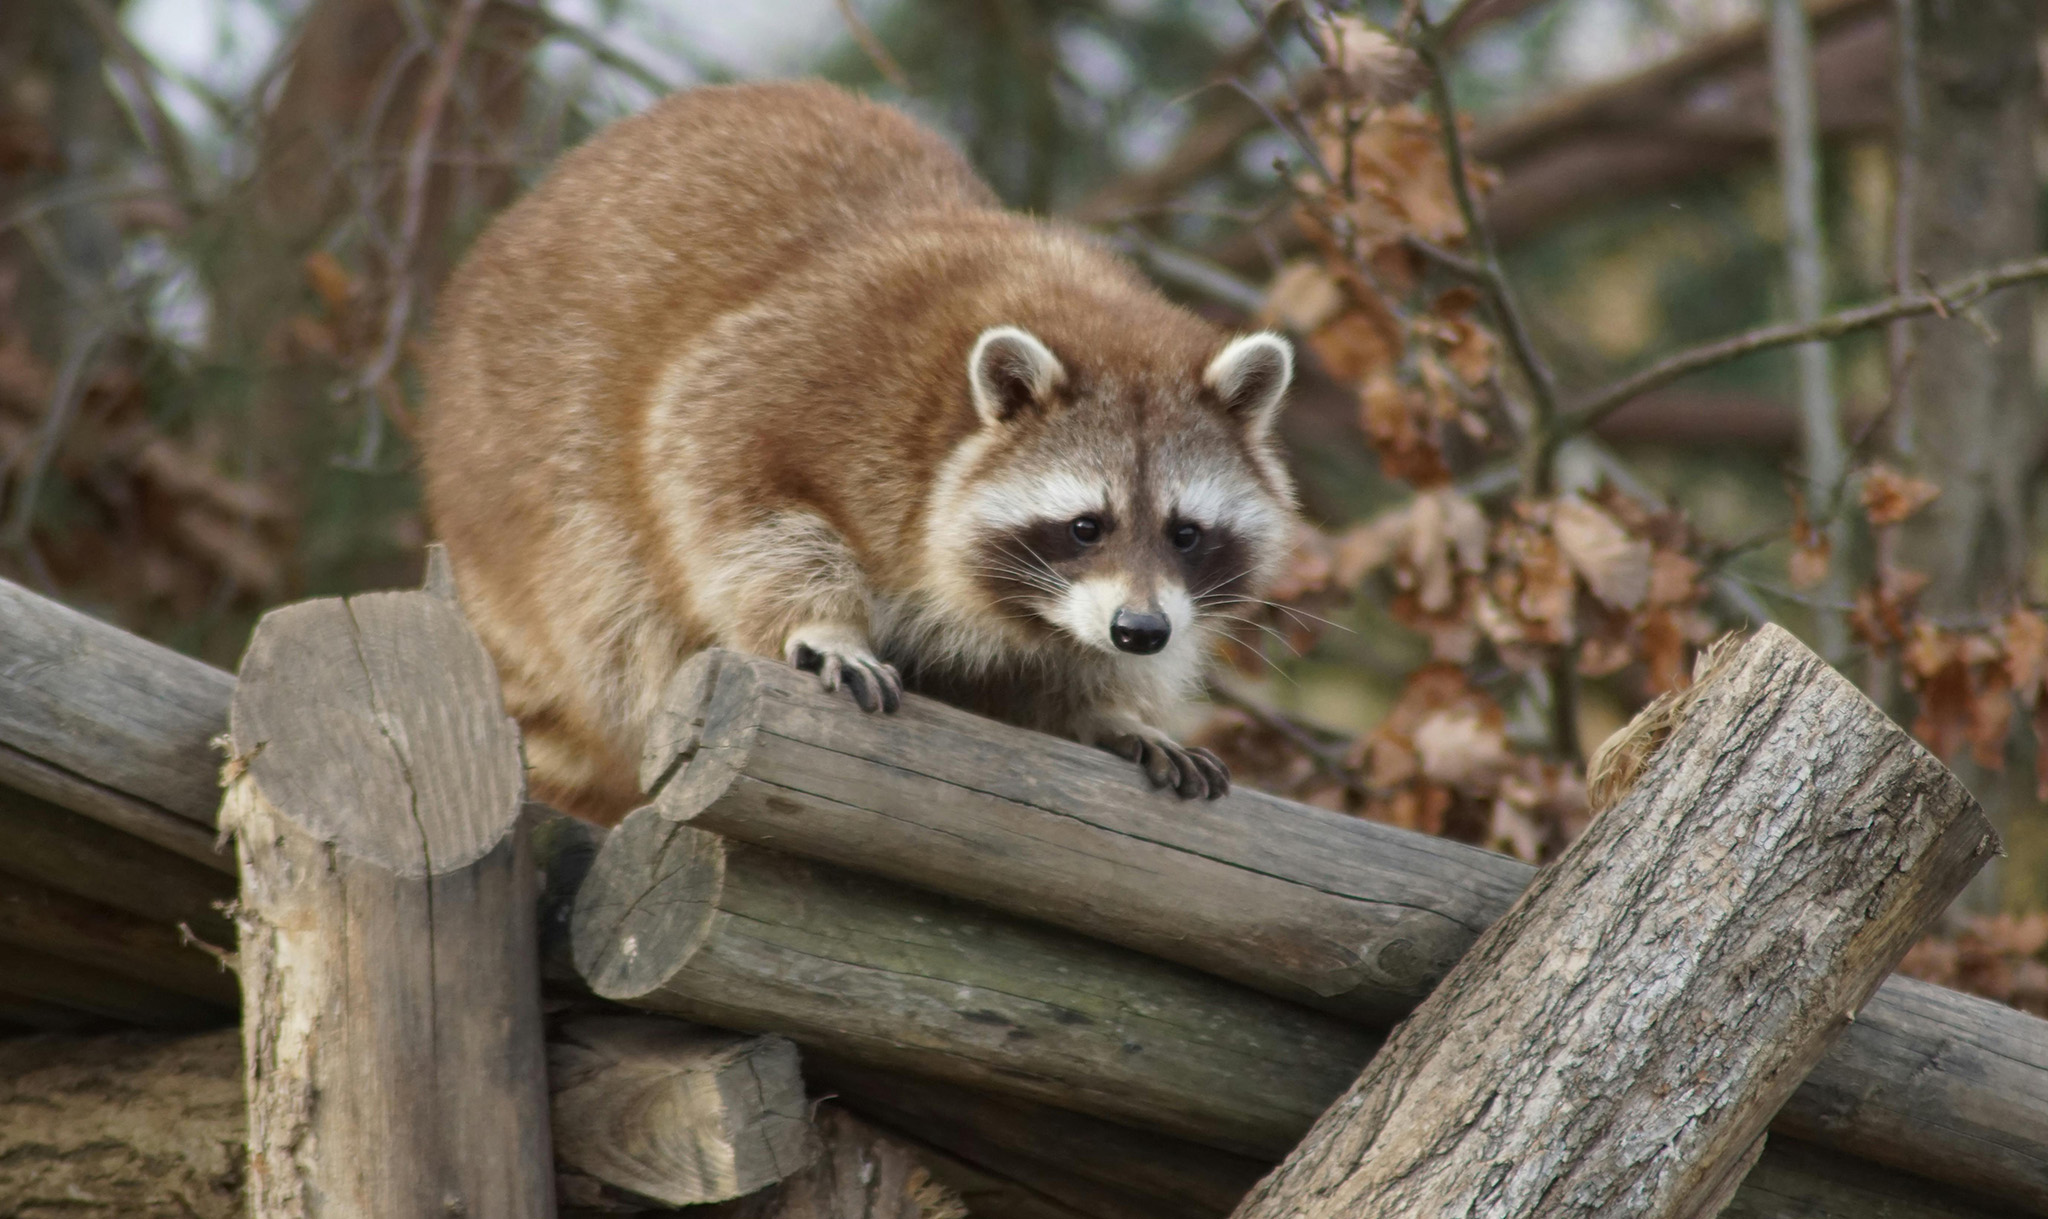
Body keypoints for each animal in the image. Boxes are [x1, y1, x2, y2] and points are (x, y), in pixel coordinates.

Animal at [421, 81, 1298, 824]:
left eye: (1186, 533)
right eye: (1087, 526)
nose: (1140, 631)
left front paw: (1110, 706)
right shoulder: (814, 373)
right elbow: (720, 480)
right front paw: (821, 622)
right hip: (522, 477)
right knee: (614, 599)